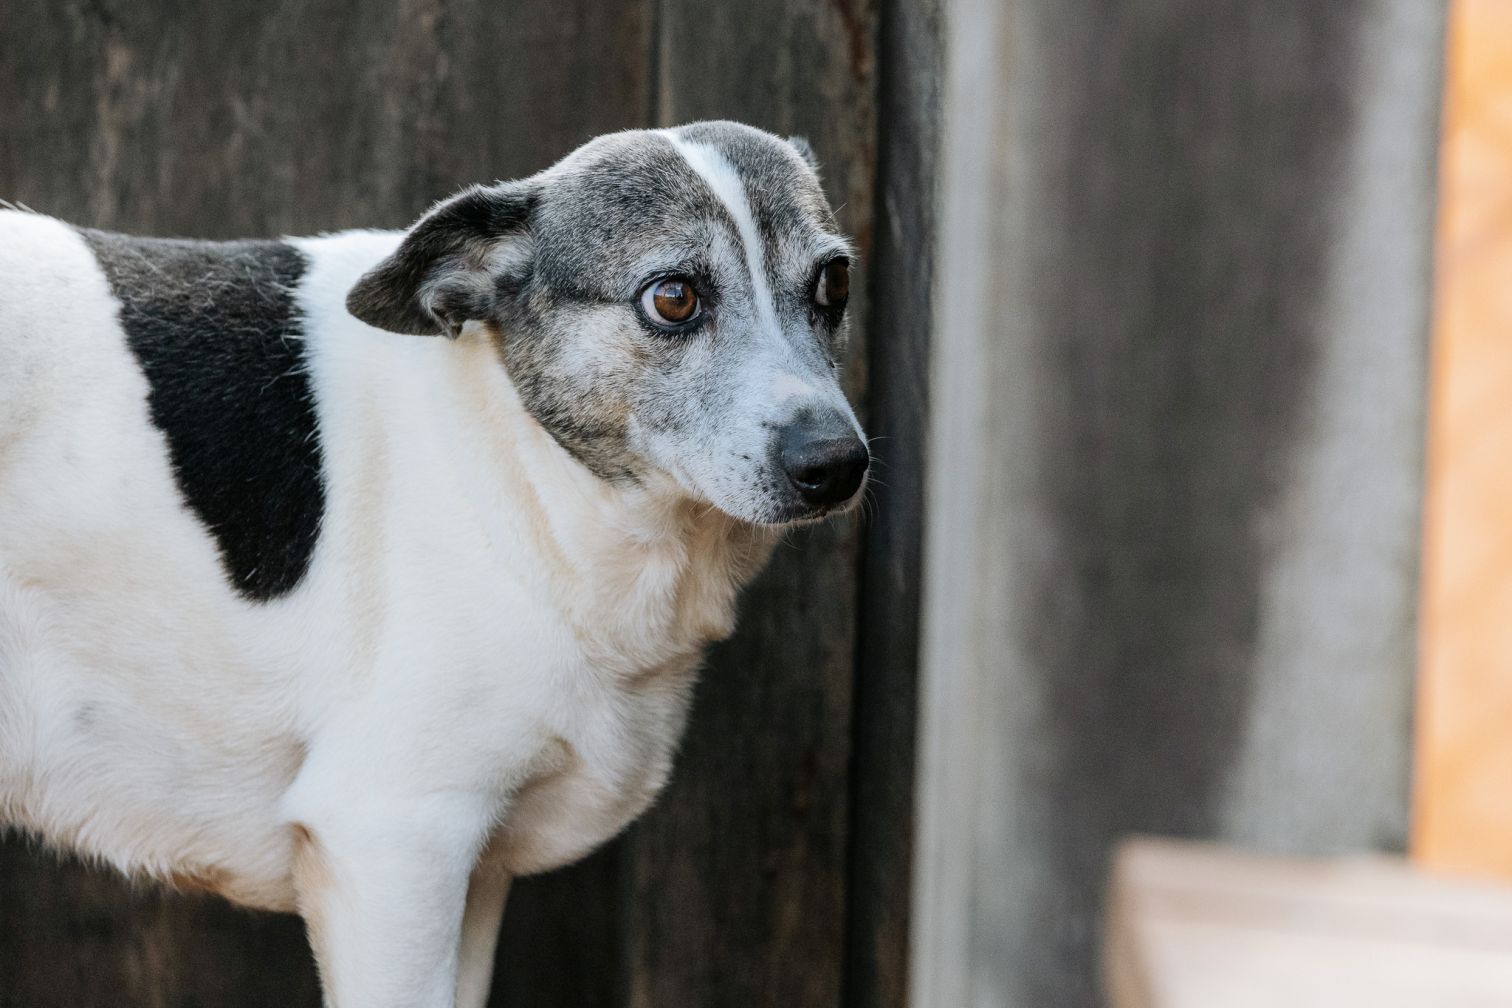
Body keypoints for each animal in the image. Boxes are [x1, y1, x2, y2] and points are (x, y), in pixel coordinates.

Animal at [0, 123, 870, 1008]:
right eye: (674, 298)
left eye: (834, 280)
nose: (837, 465)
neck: (523, 472)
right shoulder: (393, 845)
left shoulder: (472, 875)